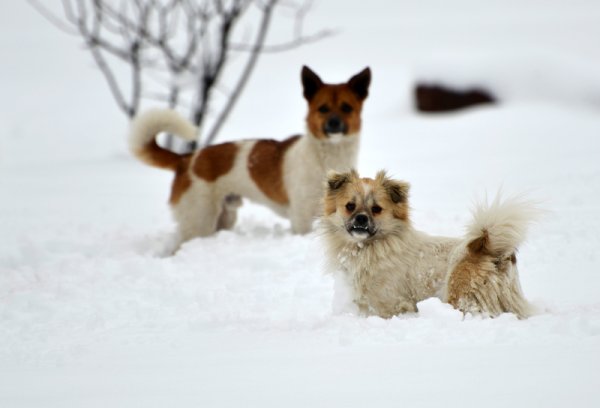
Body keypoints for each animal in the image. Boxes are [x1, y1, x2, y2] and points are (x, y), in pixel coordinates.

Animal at [130, 66, 370, 245]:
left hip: (224, 217)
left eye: (347, 108)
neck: (327, 157)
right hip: (199, 220)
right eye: (323, 108)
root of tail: (186, 159)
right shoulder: (301, 218)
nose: (334, 124)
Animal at [322, 169, 536, 318]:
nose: (361, 218)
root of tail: (484, 246)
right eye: (350, 206)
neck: (371, 247)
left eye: (376, 209)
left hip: (460, 297)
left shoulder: (388, 303)